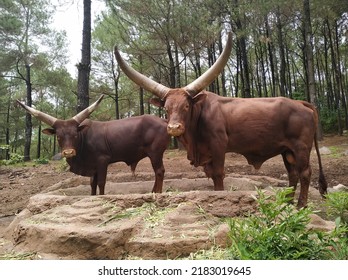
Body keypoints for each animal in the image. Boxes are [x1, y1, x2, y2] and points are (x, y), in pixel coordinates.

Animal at [16, 95, 171, 195]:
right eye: (58, 136)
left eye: (75, 134)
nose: (68, 152)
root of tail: (164, 121)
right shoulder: (92, 167)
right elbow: (92, 184)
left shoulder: (102, 161)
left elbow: (101, 182)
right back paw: (152, 192)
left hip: (155, 152)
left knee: (159, 171)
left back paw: (157, 193)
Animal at [113, 32, 326, 208]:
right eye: (166, 108)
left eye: (186, 106)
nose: (174, 128)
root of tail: (301, 103)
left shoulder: (218, 146)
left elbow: (218, 175)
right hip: (286, 150)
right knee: (293, 174)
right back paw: (287, 203)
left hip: (301, 147)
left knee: (305, 173)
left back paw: (300, 205)